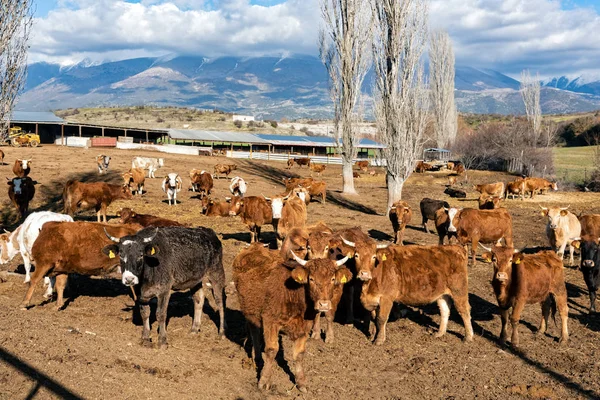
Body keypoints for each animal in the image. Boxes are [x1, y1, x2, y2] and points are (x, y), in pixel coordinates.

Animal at [231, 242, 352, 392]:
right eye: (311, 279)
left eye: (333, 279)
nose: (323, 304)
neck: (294, 296)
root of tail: (254, 246)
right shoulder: (270, 320)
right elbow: (272, 350)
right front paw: (264, 381)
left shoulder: (304, 327)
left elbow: (299, 354)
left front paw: (301, 383)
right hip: (250, 311)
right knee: (254, 332)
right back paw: (258, 357)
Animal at [342, 241, 474, 346]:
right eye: (356, 255)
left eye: (373, 257)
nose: (364, 274)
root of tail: (456, 247)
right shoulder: (375, 300)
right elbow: (375, 318)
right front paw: (373, 335)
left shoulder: (386, 298)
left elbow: (381, 319)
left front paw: (379, 340)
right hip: (443, 294)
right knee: (445, 310)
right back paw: (440, 333)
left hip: (459, 291)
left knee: (464, 311)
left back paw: (468, 337)